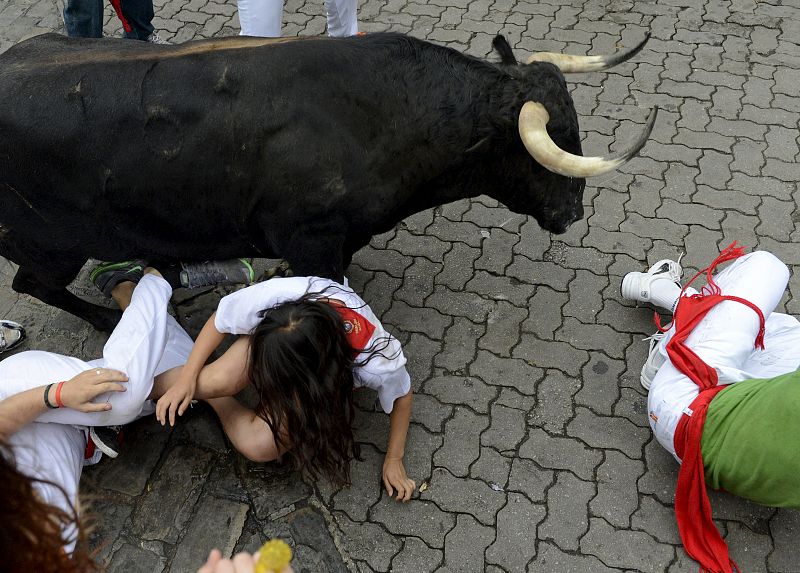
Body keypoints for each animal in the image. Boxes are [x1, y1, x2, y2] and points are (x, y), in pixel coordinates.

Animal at [0, 32, 652, 330]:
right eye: (552, 145)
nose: (573, 214)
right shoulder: (311, 234)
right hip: (52, 244)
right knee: (31, 284)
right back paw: (103, 318)